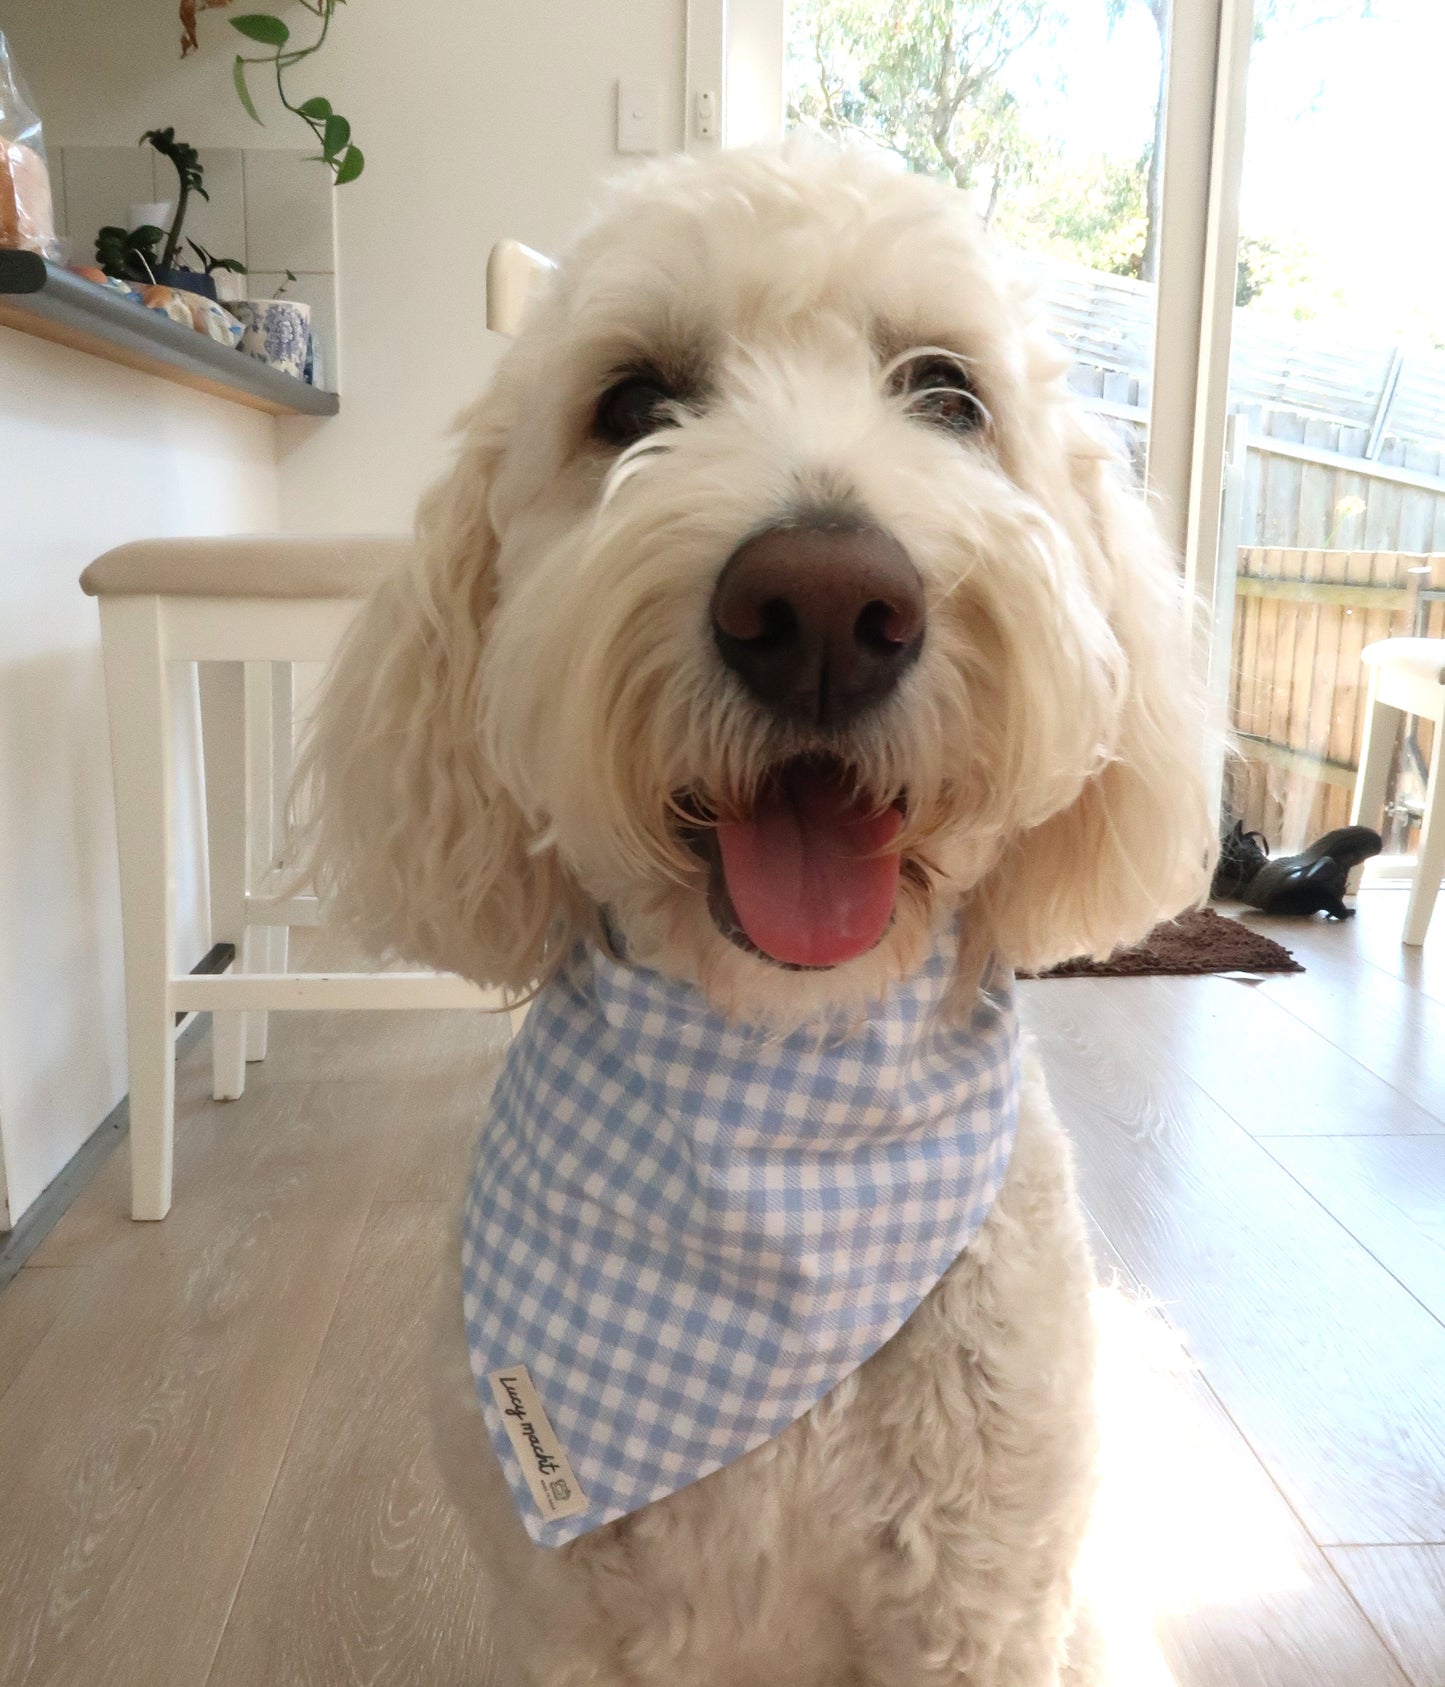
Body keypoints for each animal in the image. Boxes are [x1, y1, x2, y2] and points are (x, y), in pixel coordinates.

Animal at [298, 145, 1214, 1687]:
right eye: (632, 403)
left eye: (947, 392)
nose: (826, 605)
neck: (788, 1103)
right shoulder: (587, 1632)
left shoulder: (977, 1609)